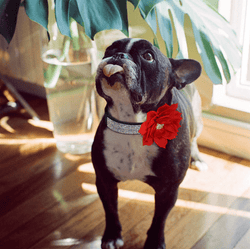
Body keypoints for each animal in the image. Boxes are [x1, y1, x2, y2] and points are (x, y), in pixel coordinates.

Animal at [91, 37, 207, 249]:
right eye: (109, 49)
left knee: (195, 138)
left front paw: (154, 242)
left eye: (147, 56)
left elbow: (159, 219)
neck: (133, 123)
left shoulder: (168, 190)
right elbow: (110, 210)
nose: (118, 55)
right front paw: (111, 236)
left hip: (198, 119)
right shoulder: (104, 180)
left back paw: (198, 159)